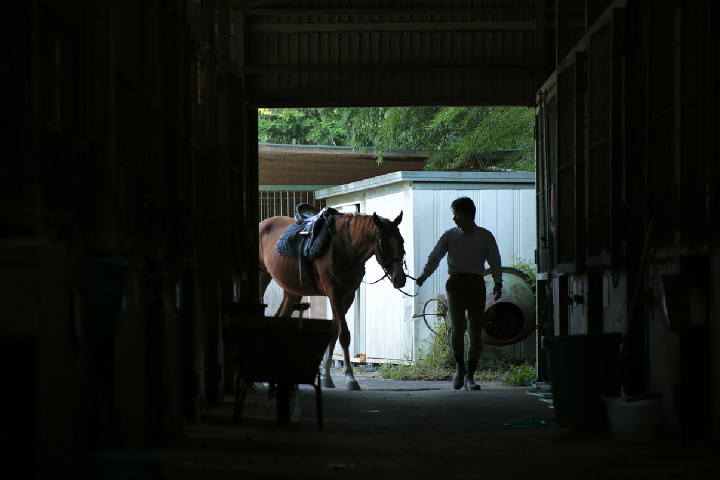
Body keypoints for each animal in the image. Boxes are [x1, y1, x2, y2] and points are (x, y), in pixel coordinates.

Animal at [258, 211, 408, 390]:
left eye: (401, 241)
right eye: (382, 243)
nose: (400, 279)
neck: (344, 248)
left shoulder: (347, 297)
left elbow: (335, 333)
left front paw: (327, 377)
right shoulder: (334, 294)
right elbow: (344, 334)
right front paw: (350, 378)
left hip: (292, 291)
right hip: (262, 278)